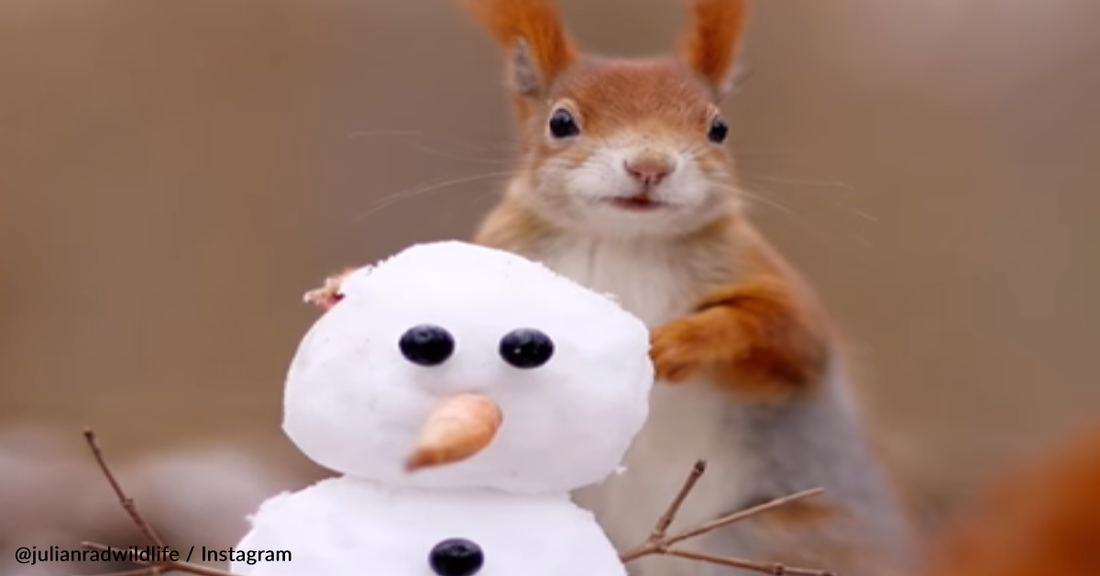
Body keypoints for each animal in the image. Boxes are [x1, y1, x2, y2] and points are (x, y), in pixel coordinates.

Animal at [305, 1, 915, 576]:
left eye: (718, 128)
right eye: (561, 122)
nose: (649, 166)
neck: (621, 239)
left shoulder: (761, 278)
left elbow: (784, 336)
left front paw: (679, 343)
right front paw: (342, 287)